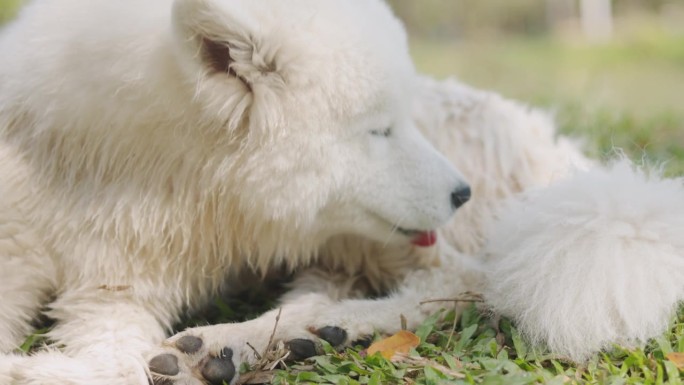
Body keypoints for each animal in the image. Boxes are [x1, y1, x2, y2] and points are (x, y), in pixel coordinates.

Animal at [1, 0, 684, 384]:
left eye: (398, 122)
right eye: (379, 130)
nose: (460, 193)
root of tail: (562, 154)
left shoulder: (118, 289)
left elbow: (113, 363)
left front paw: (33, 371)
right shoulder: (95, 275)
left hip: (398, 237)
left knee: (460, 282)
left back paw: (231, 345)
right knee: (329, 292)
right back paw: (283, 338)